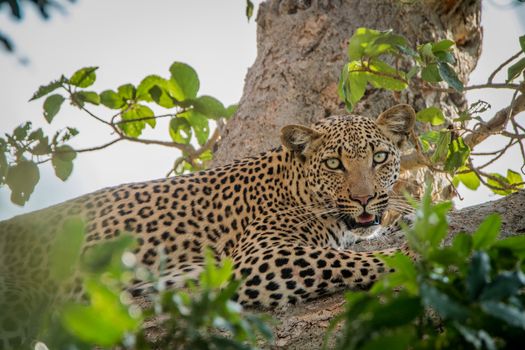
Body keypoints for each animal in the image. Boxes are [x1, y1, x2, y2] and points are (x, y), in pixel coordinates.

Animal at [0, 103, 416, 348]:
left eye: (380, 157)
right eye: (334, 164)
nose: (364, 199)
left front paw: (406, 218)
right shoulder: (258, 259)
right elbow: (351, 261)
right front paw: (413, 253)